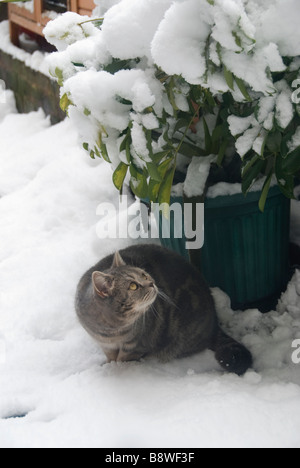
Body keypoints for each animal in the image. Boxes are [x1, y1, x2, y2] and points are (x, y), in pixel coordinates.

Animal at [74, 243, 251, 374]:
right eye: (133, 286)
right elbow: (111, 357)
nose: (151, 283)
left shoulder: (135, 347)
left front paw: (118, 369)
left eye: (144, 274)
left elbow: (122, 360)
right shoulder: (105, 345)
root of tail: (214, 323)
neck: (112, 331)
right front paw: (108, 365)